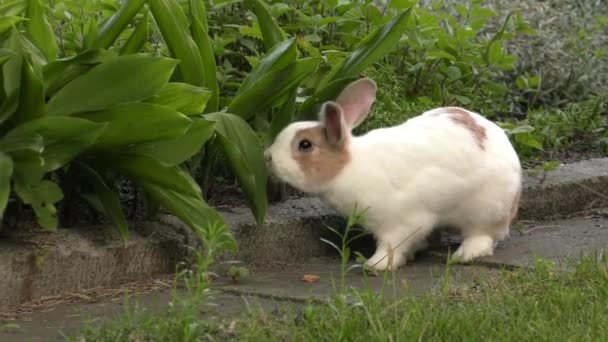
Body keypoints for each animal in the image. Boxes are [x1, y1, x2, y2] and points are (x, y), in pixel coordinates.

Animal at [264, 77, 520, 270]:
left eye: (305, 145)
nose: (267, 157)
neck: (349, 167)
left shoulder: (401, 222)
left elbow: (391, 245)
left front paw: (376, 266)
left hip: (485, 210)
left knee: (484, 235)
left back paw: (466, 254)